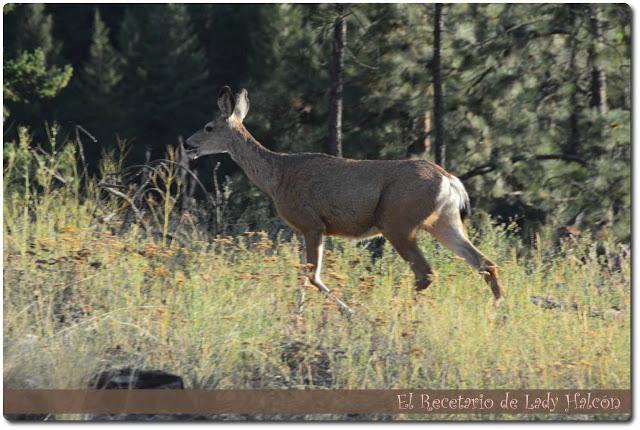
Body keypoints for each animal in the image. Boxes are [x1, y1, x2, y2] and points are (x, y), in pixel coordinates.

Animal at [185, 86, 504, 316]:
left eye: (208, 127)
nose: (187, 144)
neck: (277, 176)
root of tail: (450, 180)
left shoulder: (311, 223)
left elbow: (312, 275)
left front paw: (345, 312)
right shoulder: (307, 229)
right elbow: (303, 273)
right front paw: (298, 314)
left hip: (398, 221)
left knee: (425, 272)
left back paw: (398, 314)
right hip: (443, 221)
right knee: (484, 262)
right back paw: (500, 312)